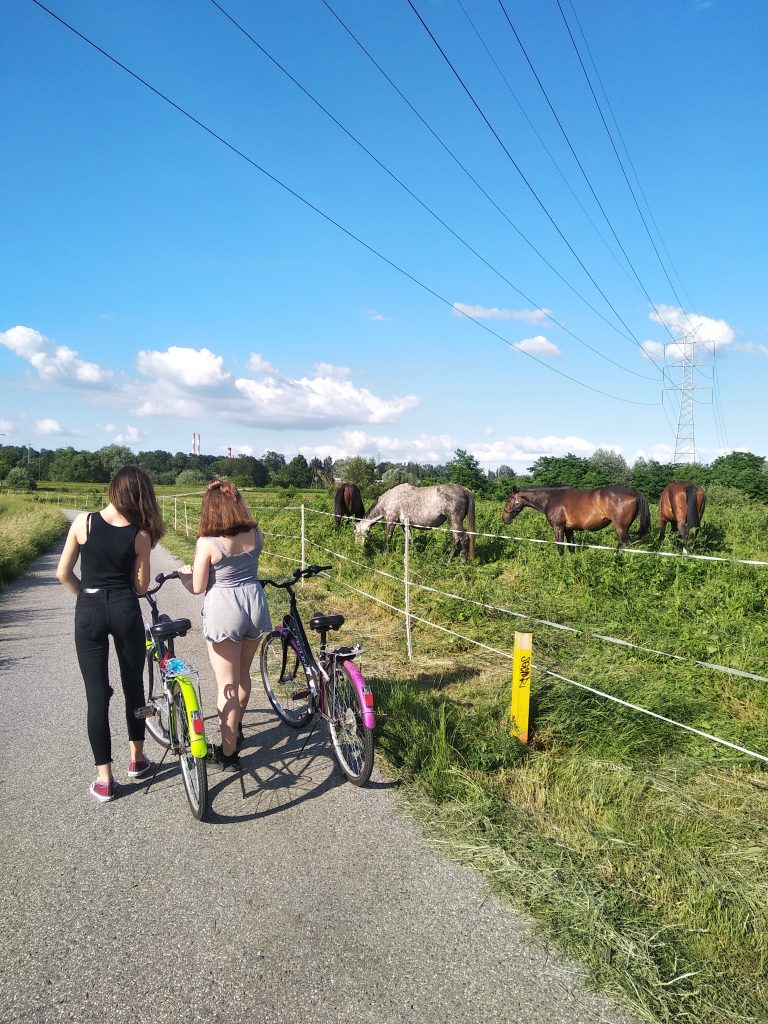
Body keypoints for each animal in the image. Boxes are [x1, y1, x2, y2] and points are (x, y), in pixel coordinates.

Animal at [501, 485, 651, 557]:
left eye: (509, 499)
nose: (504, 518)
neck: (551, 498)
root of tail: (633, 492)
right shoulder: (569, 529)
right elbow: (571, 547)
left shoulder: (558, 528)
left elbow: (561, 548)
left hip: (621, 528)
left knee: (626, 546)